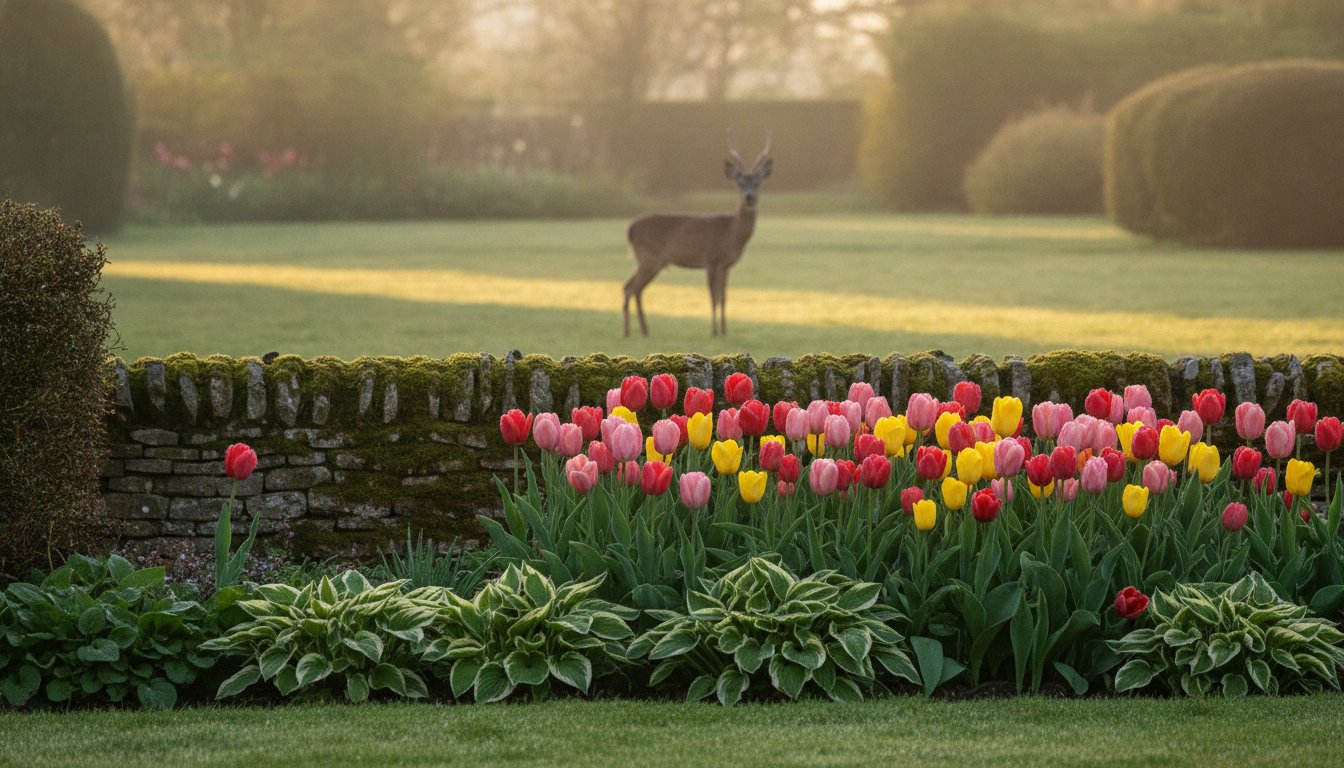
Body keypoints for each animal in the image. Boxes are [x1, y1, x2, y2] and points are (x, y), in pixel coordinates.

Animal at [623, 132, 772, 337]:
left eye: (757, 183)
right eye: (739, 182)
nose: (748, 196)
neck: (731, 235)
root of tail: (630, 229)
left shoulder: (726, 266)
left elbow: (724, 298)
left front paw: (725, 331)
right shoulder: (710, 260)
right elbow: (713, 297)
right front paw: (714, 332)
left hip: (650, 262)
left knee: (631, 288)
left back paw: (640, 331)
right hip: (648, 258)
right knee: (632, 288)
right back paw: (632, 331)